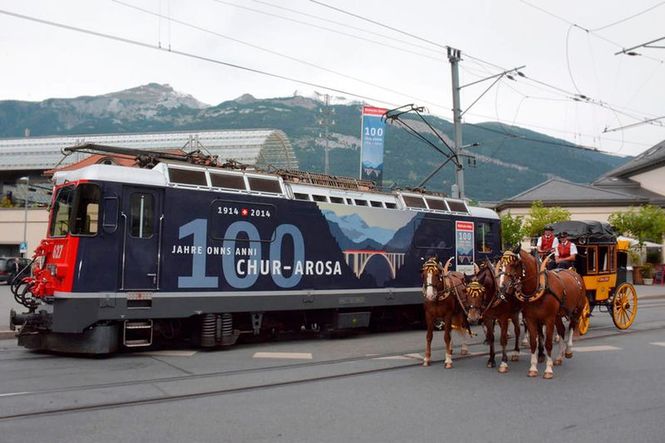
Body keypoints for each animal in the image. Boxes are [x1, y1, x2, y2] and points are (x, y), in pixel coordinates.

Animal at [498, 248, 588, 380]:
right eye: (500, 265)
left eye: (514, 264)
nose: (502, 287)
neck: (538, 289)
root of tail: (573, 272)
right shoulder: (531, 319)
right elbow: (533, 343)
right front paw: (533, 368)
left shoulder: (549, 319)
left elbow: (548, 343)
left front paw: (548, 369)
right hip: (558, 316)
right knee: (561, 330)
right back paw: (559, 357)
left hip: (577, 310)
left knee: (572, 325)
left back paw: (568, 350)